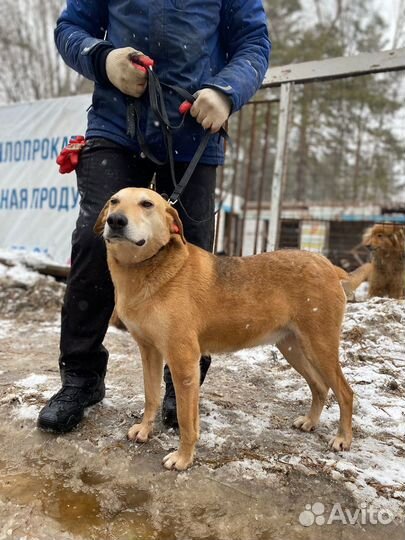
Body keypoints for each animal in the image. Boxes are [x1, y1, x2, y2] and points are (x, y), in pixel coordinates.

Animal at [94, 188, 350, 470]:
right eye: (114, 201)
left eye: (147, 204)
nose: (115, 220)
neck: (149, 268)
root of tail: (327, 265)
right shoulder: (149, 351)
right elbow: (151, 395)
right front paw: (144, 430)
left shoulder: (184, 362)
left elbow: (186, 420)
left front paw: (183, 458)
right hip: (292, 347)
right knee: (320, 386)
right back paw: (311, 421)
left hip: (320, 347)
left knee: (345, 392)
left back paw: (343, 439)